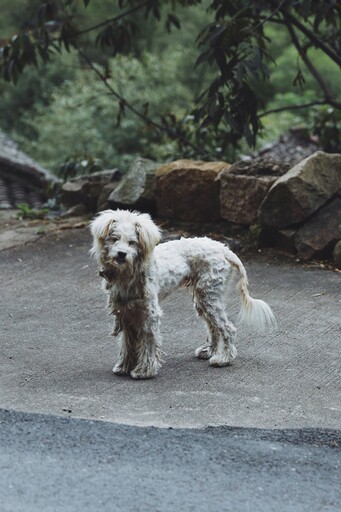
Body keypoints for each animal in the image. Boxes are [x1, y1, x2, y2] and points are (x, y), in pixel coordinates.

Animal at [89, 208, 274, 380]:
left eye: (132, 242)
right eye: (114, 239)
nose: (121, 254)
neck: (129, 272)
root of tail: (224, 249)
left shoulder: (149, 313)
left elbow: (148, 341)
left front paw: (144, 371)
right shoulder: (126, 313)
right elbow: (127, 343)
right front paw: (124, 366)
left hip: (209, 297)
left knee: (227, 328)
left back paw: (223, 359)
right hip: (202, 298)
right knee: (213, 327)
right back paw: (209, 351)